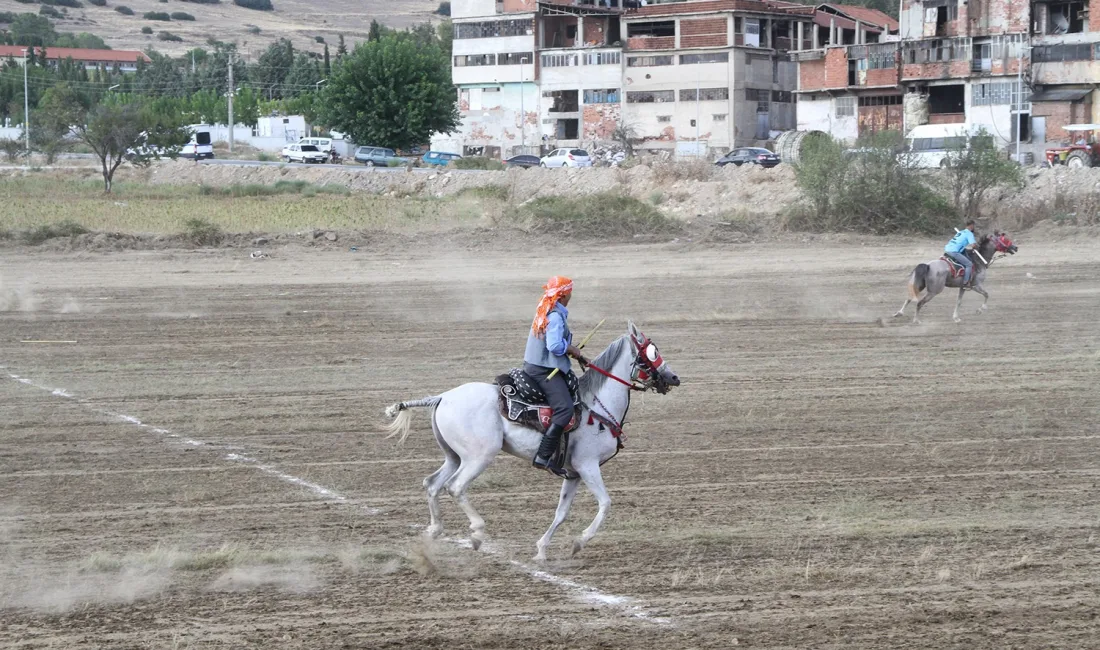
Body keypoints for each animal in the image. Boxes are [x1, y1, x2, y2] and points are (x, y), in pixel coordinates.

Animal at [385, 323, 677, 563]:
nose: (674, 378)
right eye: (652, 352)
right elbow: (605, 503)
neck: (596, 405)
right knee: (455, 487)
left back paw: (434, 532)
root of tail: (443, 397)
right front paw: (579, 542)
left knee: (432, 484)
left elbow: (561, 512)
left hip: (453, 456)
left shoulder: (573, 474)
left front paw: (541, 550)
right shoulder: (588, 466)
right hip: (479, 457)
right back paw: (477, 534)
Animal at [888, 234, 1016, 325]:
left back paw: (899, 313)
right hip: (934, 291)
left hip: (920, 285)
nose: (1015, 247)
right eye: (1004, 239)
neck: (978, 260)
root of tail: (928, 265)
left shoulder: (963, 287)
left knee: (910, 298)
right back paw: (916, 320)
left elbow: (958, 301)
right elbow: (986, 294)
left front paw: (956, 318)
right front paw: (980, 309)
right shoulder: (976, 285)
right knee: (920, 303)